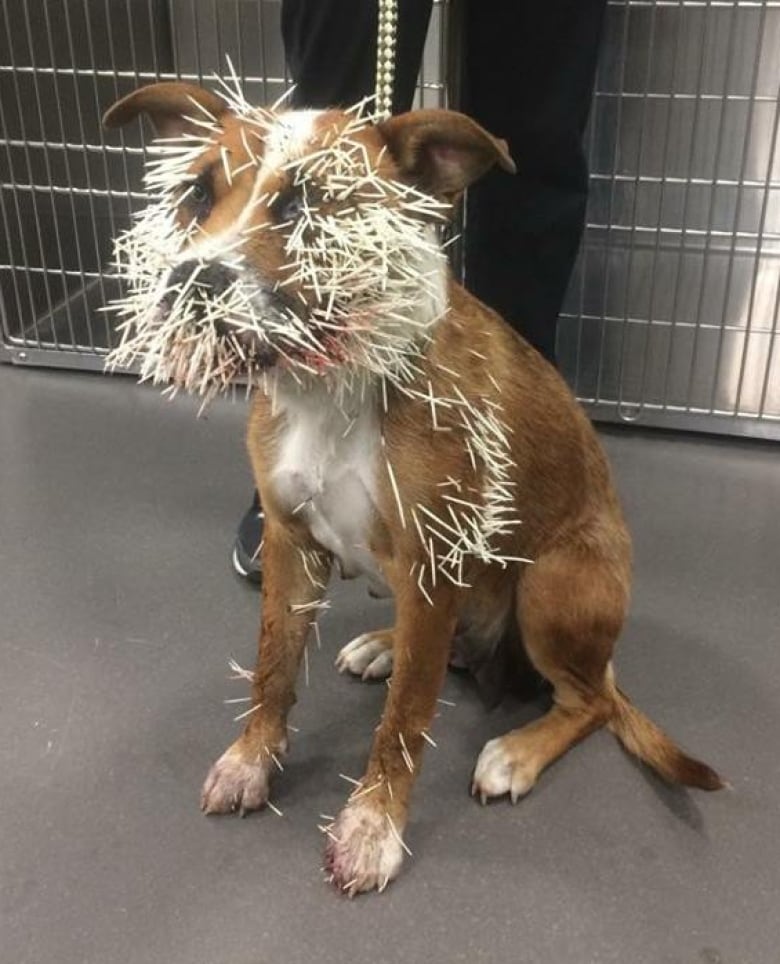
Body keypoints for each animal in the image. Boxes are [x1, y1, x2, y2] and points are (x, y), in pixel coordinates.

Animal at [103, 81, 724, 896]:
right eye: (196, 193)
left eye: (312, 206)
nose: (190, 283)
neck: (332, 385)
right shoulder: (289, 543)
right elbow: (272, 668)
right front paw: (251, 760)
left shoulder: (434, 564)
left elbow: (403, 721)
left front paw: (373, 827)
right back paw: (383, 645)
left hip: (552, 587)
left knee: (587, 703)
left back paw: (516, 750)